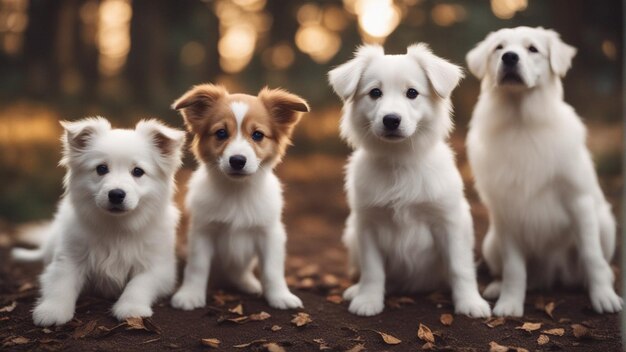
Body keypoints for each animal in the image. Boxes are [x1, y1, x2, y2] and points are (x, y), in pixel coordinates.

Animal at [11, 117, 183, 326]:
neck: (116, 226)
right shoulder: (68, 258)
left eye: (138, 171)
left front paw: (131, 308)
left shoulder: (159, 268)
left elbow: (139, 283)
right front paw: (52, 310)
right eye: (101, 168)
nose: (116, 194)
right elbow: (60, 283)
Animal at [169, 84, 308, 310]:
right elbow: (197, 267)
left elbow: (272, 270)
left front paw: (280, 296)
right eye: (221, 133)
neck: (237, 191)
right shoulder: (203, 231)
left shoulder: (270, 233)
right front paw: (190, 294)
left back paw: (249, 284)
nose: (237, 161)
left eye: (258, 135)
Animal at [326, 44, 488, 320]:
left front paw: (470, 302)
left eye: (412, 93)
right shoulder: (367, 223)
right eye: (375, 93)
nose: (391, 119)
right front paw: (368, 299)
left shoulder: (449, 221)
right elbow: (373, 270)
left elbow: (460, 267)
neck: (399, 162)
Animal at [464, 25, 620, 316]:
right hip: (491, 242)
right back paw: (497, 287)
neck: (521, 122)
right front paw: (510, 303)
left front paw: (604, 296)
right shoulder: (505, 210)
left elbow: (592, 256)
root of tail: (553, 275)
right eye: (499, 48)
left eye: (532, 49)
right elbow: (514, 268)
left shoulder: (579, 200)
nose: (510, 57)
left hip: (605, 224)